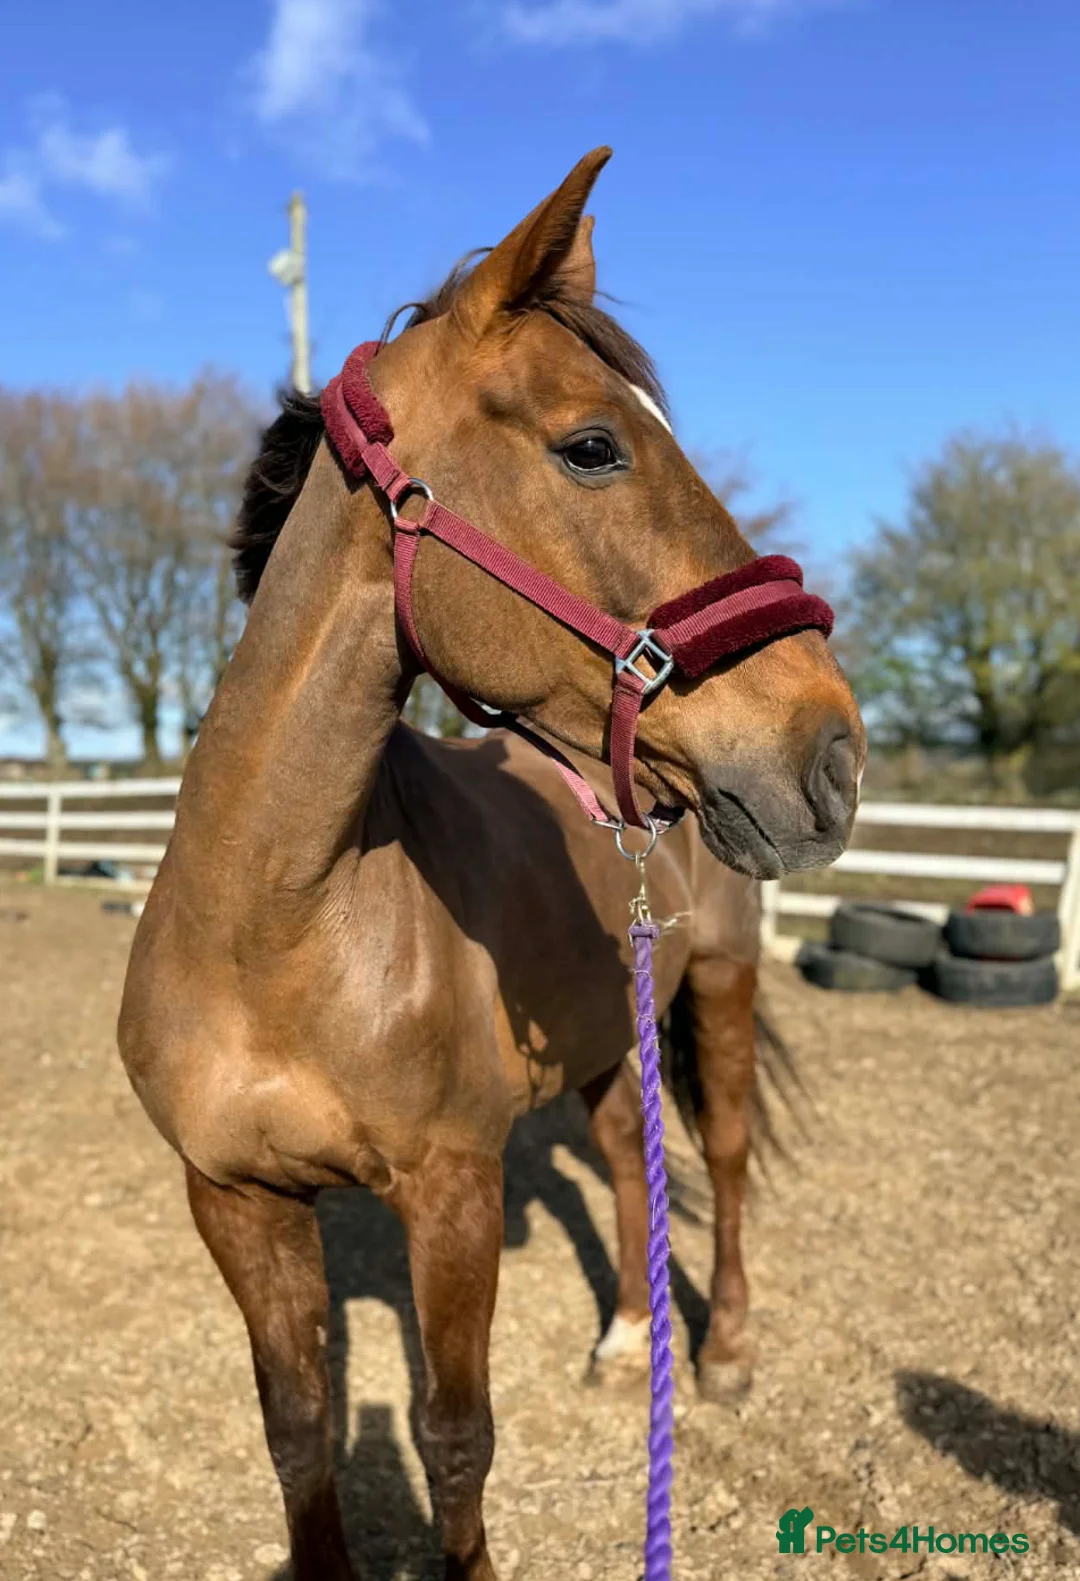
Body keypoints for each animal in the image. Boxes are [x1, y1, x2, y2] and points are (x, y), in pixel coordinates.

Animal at [118, 147, 865, 1581]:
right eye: (592, 445)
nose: (833, 751)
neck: (276, 932)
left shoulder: (454, 1196)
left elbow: (453, 1439)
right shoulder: (232, 1200)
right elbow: (301, 1434)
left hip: (722, 989)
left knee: (728, 1158)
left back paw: (725, 1355)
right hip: (607, 1035)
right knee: (630, 1161)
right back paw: (629, 1340)